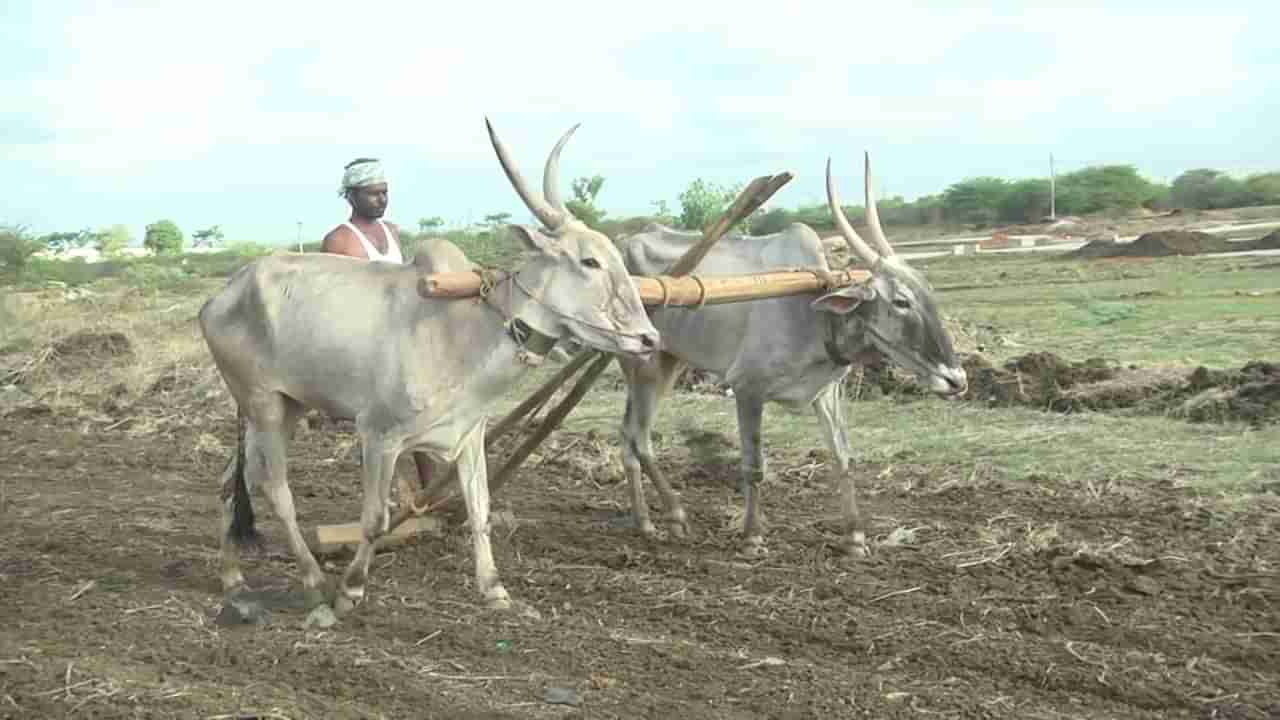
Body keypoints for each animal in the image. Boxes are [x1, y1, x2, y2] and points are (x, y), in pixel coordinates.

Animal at [200, 119, 665, 609]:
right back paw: (314, 580)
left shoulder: (469, 434)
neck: (469, 329)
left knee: (234, 479)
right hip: (264, 403)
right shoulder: (378, 435)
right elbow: (374, 519)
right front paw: (351, 588)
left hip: (284, 407)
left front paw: (494, 588)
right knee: (276, 489)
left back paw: (233, 578)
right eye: (589, 261)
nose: (648, 338)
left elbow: (480, 507)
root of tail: (222, 295)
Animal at [614, 152, 962, 556]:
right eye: (901, 301)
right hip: (642, 363)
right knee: (640, 439)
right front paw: (752, 535)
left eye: (929, 293)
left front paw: (855, 537)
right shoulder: (747, 388)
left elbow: (842, 458)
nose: (957, 379)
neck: (813, 312)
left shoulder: (827, 393)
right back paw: (675, 514)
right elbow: (754, 466)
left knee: (628, 436)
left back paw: (645, 521)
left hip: (668, 362)